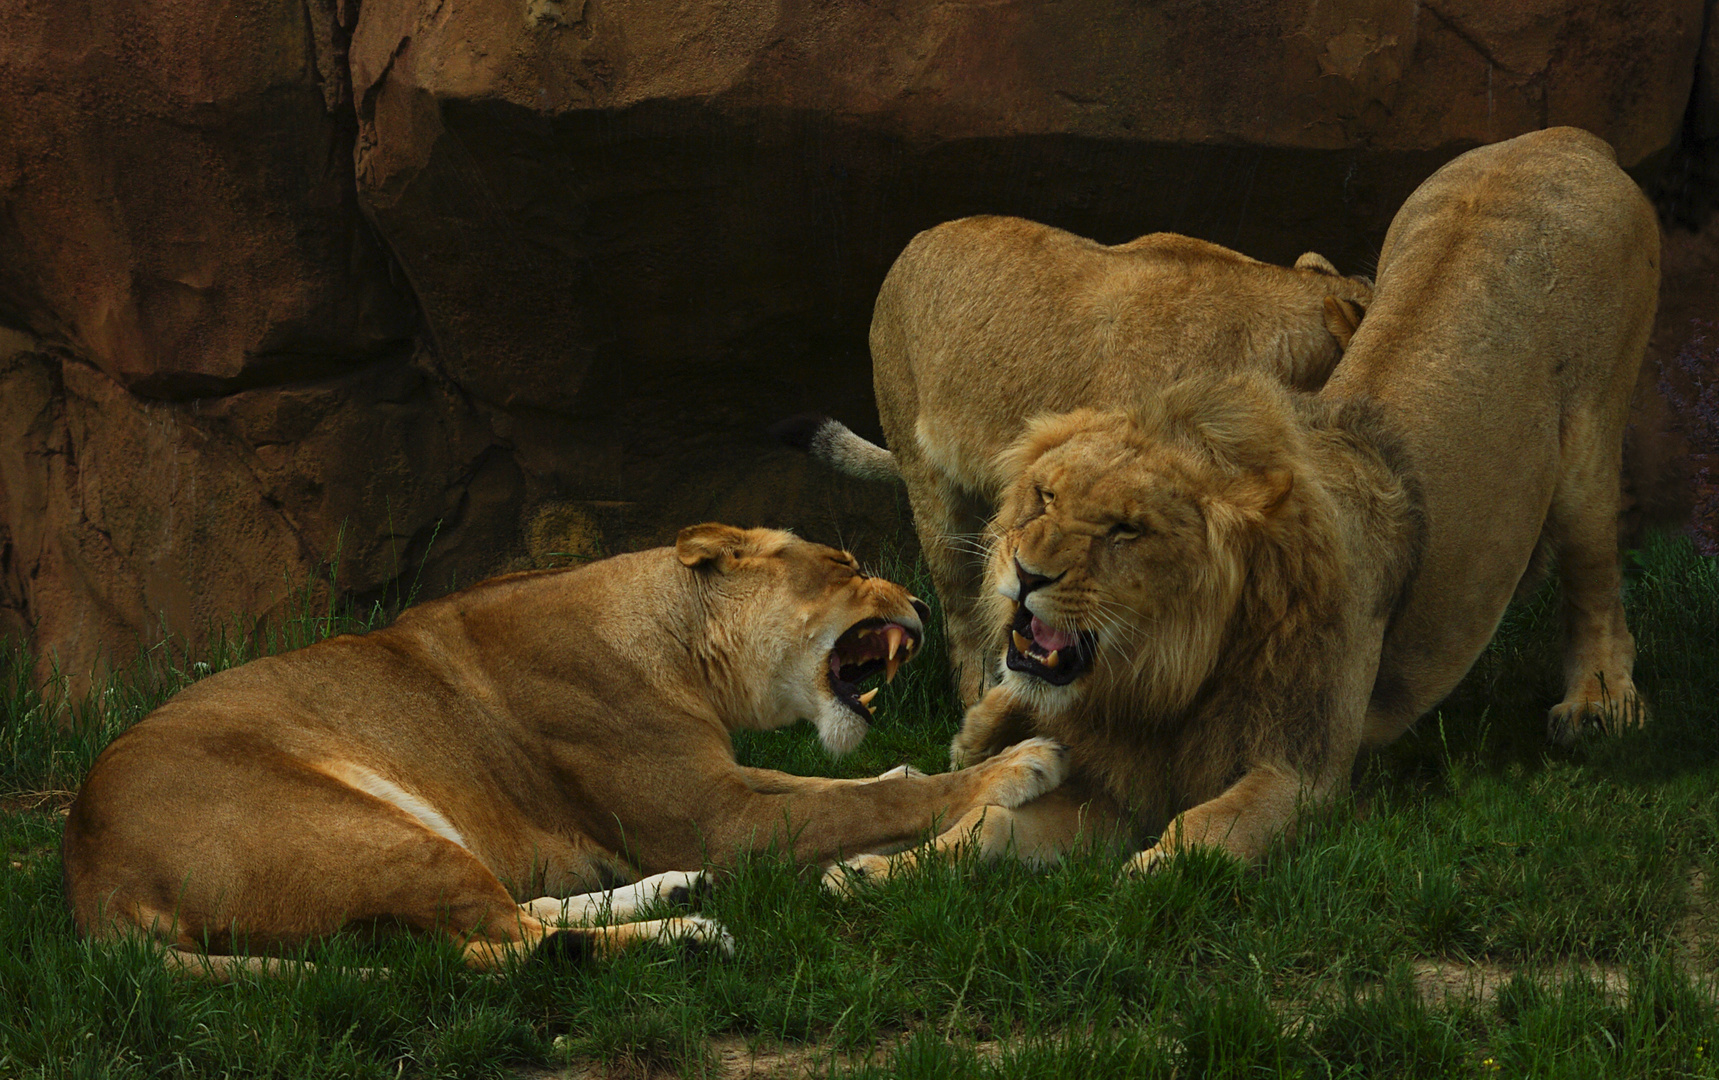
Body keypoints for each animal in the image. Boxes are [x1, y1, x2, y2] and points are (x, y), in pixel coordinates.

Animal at [60, 526, 1065, 976]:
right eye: (847, 565)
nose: (924, 605)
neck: (680, 645)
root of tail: (91, 881)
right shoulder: (716, 815)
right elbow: (853, 802)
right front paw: (1016, 766)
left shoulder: (722, 784)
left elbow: (827, 782)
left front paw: (916, 764)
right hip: (367, 830)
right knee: (499, 947)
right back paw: (691, 930)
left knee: (518, 912)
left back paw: (674, 894)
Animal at [825, 126, 1657, 887]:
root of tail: (1565, 136)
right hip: (932, 488)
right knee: (967, 621)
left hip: (1588, 437)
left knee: (1593, 578)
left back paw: (1596, 704)